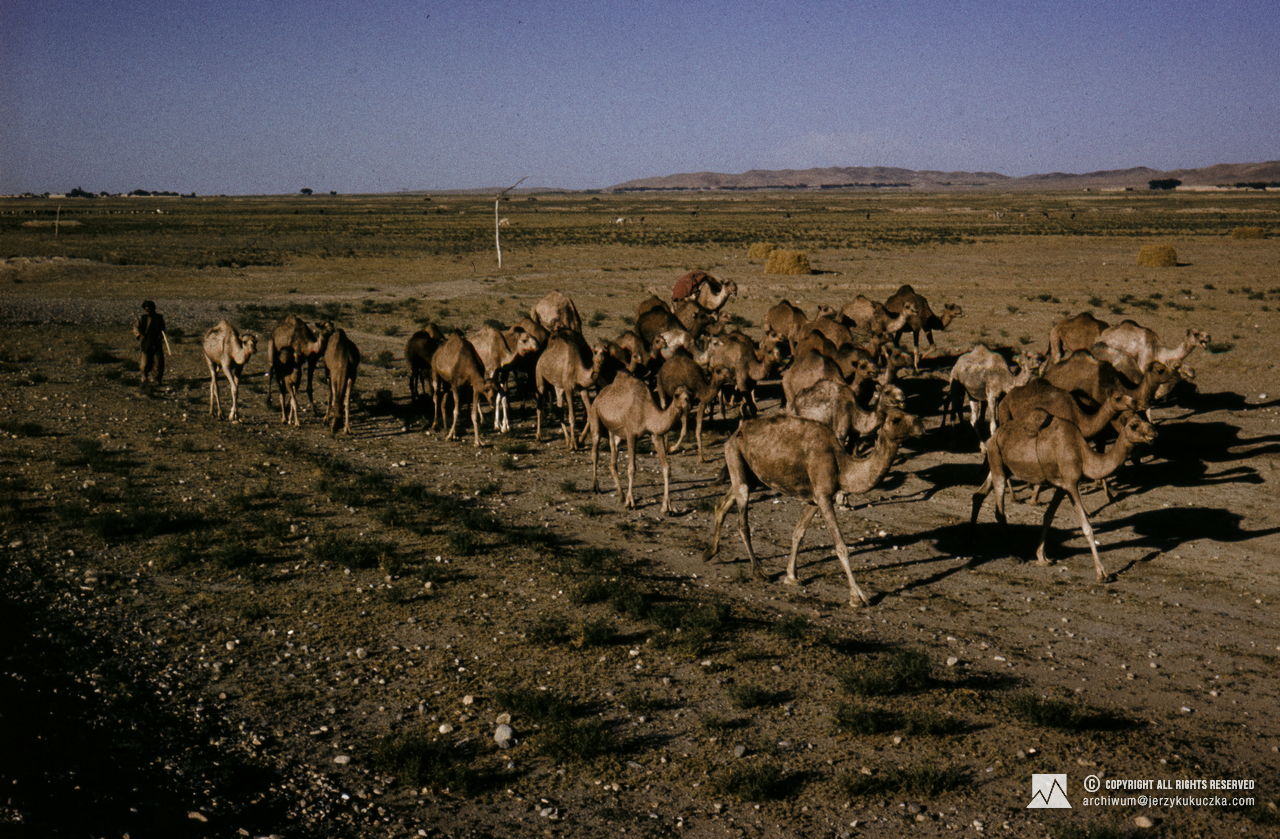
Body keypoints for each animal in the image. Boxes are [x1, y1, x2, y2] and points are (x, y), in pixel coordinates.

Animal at [587, 374, 691, 515]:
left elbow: (666, 468)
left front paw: (667, 506)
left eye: (691, 393)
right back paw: (596, 487)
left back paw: (621, 495)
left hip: (614, 433)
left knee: (612, 462)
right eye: (676, 395)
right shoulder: (631, 434)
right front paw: (630, 503)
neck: (646, 412)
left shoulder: (656, 435)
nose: (688, 402)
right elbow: (632, 468)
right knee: (595, 453)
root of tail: (599, 395)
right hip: (595, 416)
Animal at [702, 408, 922, 607]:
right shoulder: (823, 496)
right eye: (896, 419)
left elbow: (798, 533)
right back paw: (758, 572)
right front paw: (856, 597)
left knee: (722, 503)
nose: (920, 423)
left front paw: (791, 576)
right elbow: (841, 546)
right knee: (743, 522)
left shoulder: (815, 499)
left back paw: (710, 552)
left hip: (751, 475)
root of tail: (734, 433)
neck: (842, 466)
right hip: (736, 458)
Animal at [969, 411, 1158, 583]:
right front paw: (1102, 574)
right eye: (1134, 425)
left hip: (1000, 466)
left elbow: (1048, 517)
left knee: (978, 495)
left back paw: (973, 537)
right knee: (999, 511)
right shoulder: (1071, 484)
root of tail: (992, 438)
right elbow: (1086, 527)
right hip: (997, 462)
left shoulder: (1062, 486)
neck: (1083, 455)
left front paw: (1042, 558)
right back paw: (1013, 554)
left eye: (1147, 420)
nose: (1154, 434)